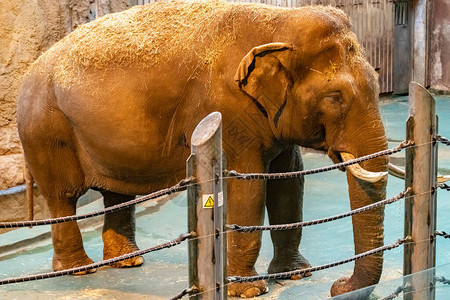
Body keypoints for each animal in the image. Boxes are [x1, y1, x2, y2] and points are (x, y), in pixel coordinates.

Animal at [17, 0, 388, 298]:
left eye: (377, 81)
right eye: (335, 97)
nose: (337, 285)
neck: (277, 21)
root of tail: (30, 69)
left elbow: (290, 182)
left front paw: (295, 274)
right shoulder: (227, 109)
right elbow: (248, 186)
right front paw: (249, 290)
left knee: (117, 193)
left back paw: (129, 263)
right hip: (46, 129)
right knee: (63, 196)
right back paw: (81, 269)